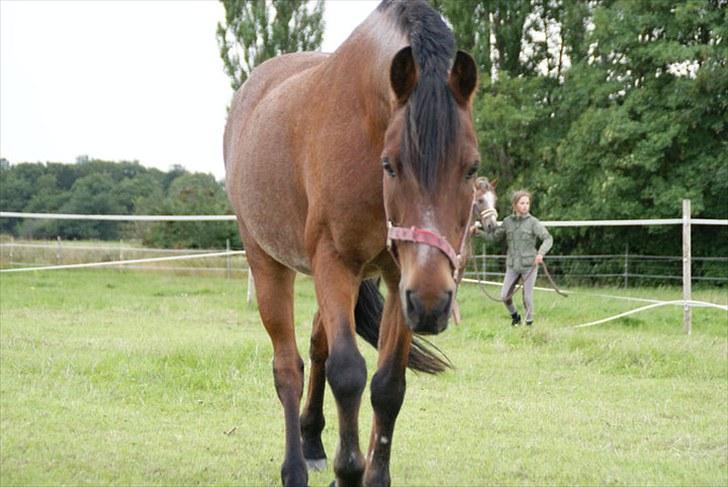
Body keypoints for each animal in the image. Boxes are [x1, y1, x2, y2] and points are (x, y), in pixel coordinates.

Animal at [225, 1, 480, 486]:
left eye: (472, 168)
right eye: (391, 164)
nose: (434, 303)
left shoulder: (400, 279)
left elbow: (387, 385)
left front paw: (374, 475)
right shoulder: (335, 262)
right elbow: (347, 373)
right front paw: (348, 469)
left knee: (316, 344)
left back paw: (311, 440)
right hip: (268, 263)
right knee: (288, 367)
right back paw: (294, 467)